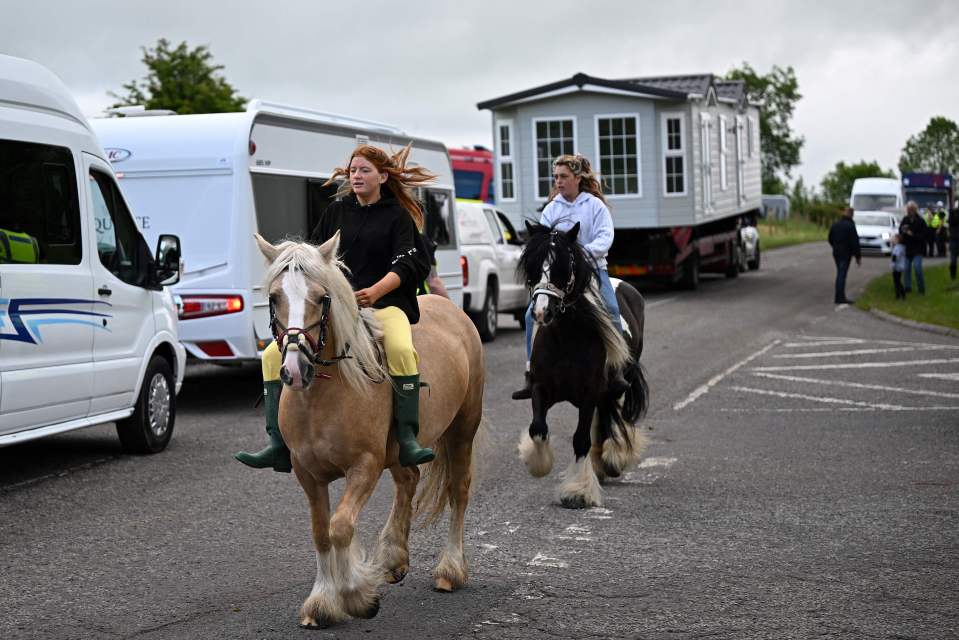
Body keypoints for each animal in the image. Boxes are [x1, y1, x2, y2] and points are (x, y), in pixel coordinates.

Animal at [253, 232, 484, 628]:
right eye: (274, 297)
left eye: (322, 298)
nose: (295, 370)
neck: (322, 397)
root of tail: (449, 307)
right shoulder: (307, 473)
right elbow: (320, 532)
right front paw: (321, 601)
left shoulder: (364, 466)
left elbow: (340, 527)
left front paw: (356, 596)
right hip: (401, 449)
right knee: (408, 480)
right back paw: (393, 557)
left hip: (462, 430)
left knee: (458, 491)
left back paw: (450, 570)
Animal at [516, 222, 652, 508]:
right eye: (533, 265)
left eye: (563, 266)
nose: (542, 312)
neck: (566, 337)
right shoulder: (541, 388)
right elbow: (538, 429)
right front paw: (538, 463)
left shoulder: (591, 392)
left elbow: (581, 440)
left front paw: (577, 491)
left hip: (614, 386)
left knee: (608, 416)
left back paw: (610, 460)